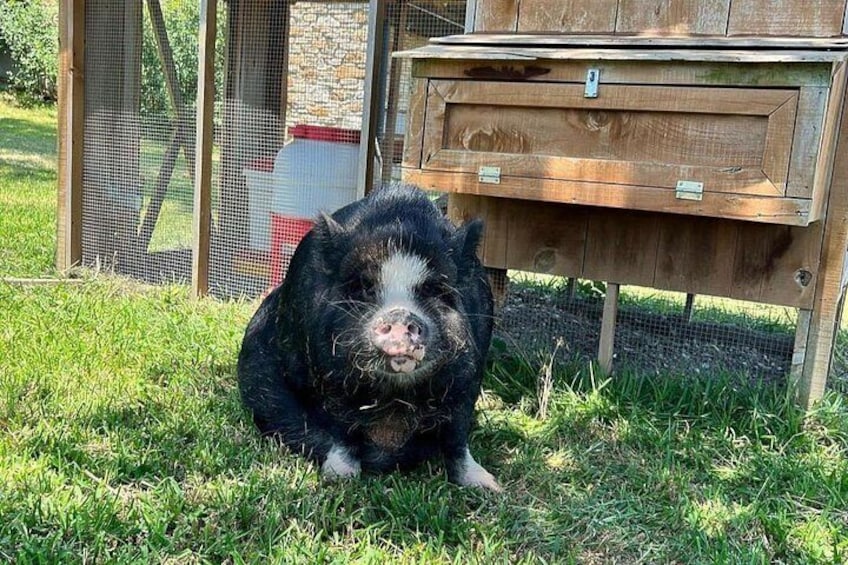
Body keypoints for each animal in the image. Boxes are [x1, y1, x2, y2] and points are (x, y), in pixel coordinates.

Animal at [237, 183, 500, 491]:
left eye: (433, 289)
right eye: (363, 286)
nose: (400, 315)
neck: (394, 397)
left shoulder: (467, 382)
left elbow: (457, 439)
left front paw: (489, 486)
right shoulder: (328, 376)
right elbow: (342, 430)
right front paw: (338, 478)